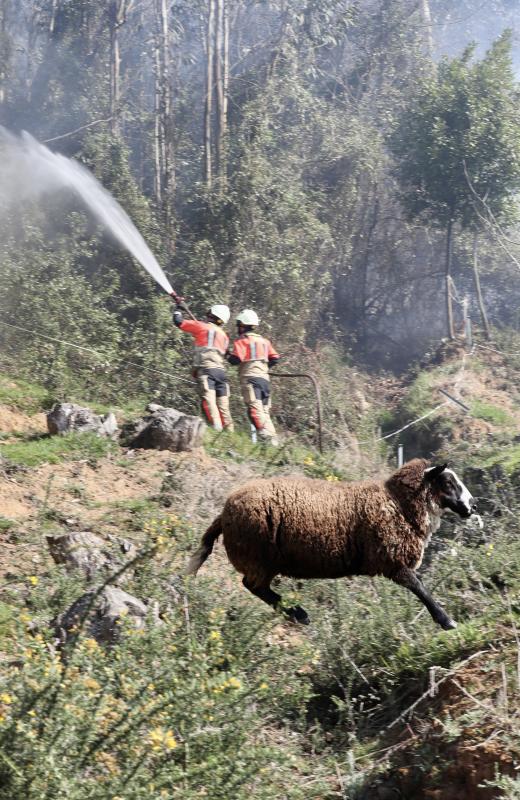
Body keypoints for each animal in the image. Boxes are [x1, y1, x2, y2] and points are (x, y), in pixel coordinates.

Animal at [185, 462, 478, 632]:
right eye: (448, 482)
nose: (473, 505)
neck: (398, 504)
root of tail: (223, 515)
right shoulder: (391, 560)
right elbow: (420, 588)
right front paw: (446, 620)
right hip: (259, 557)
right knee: (254, 586)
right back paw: (299, 615)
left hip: (262, 559)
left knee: (256, 587)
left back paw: (296, 614)